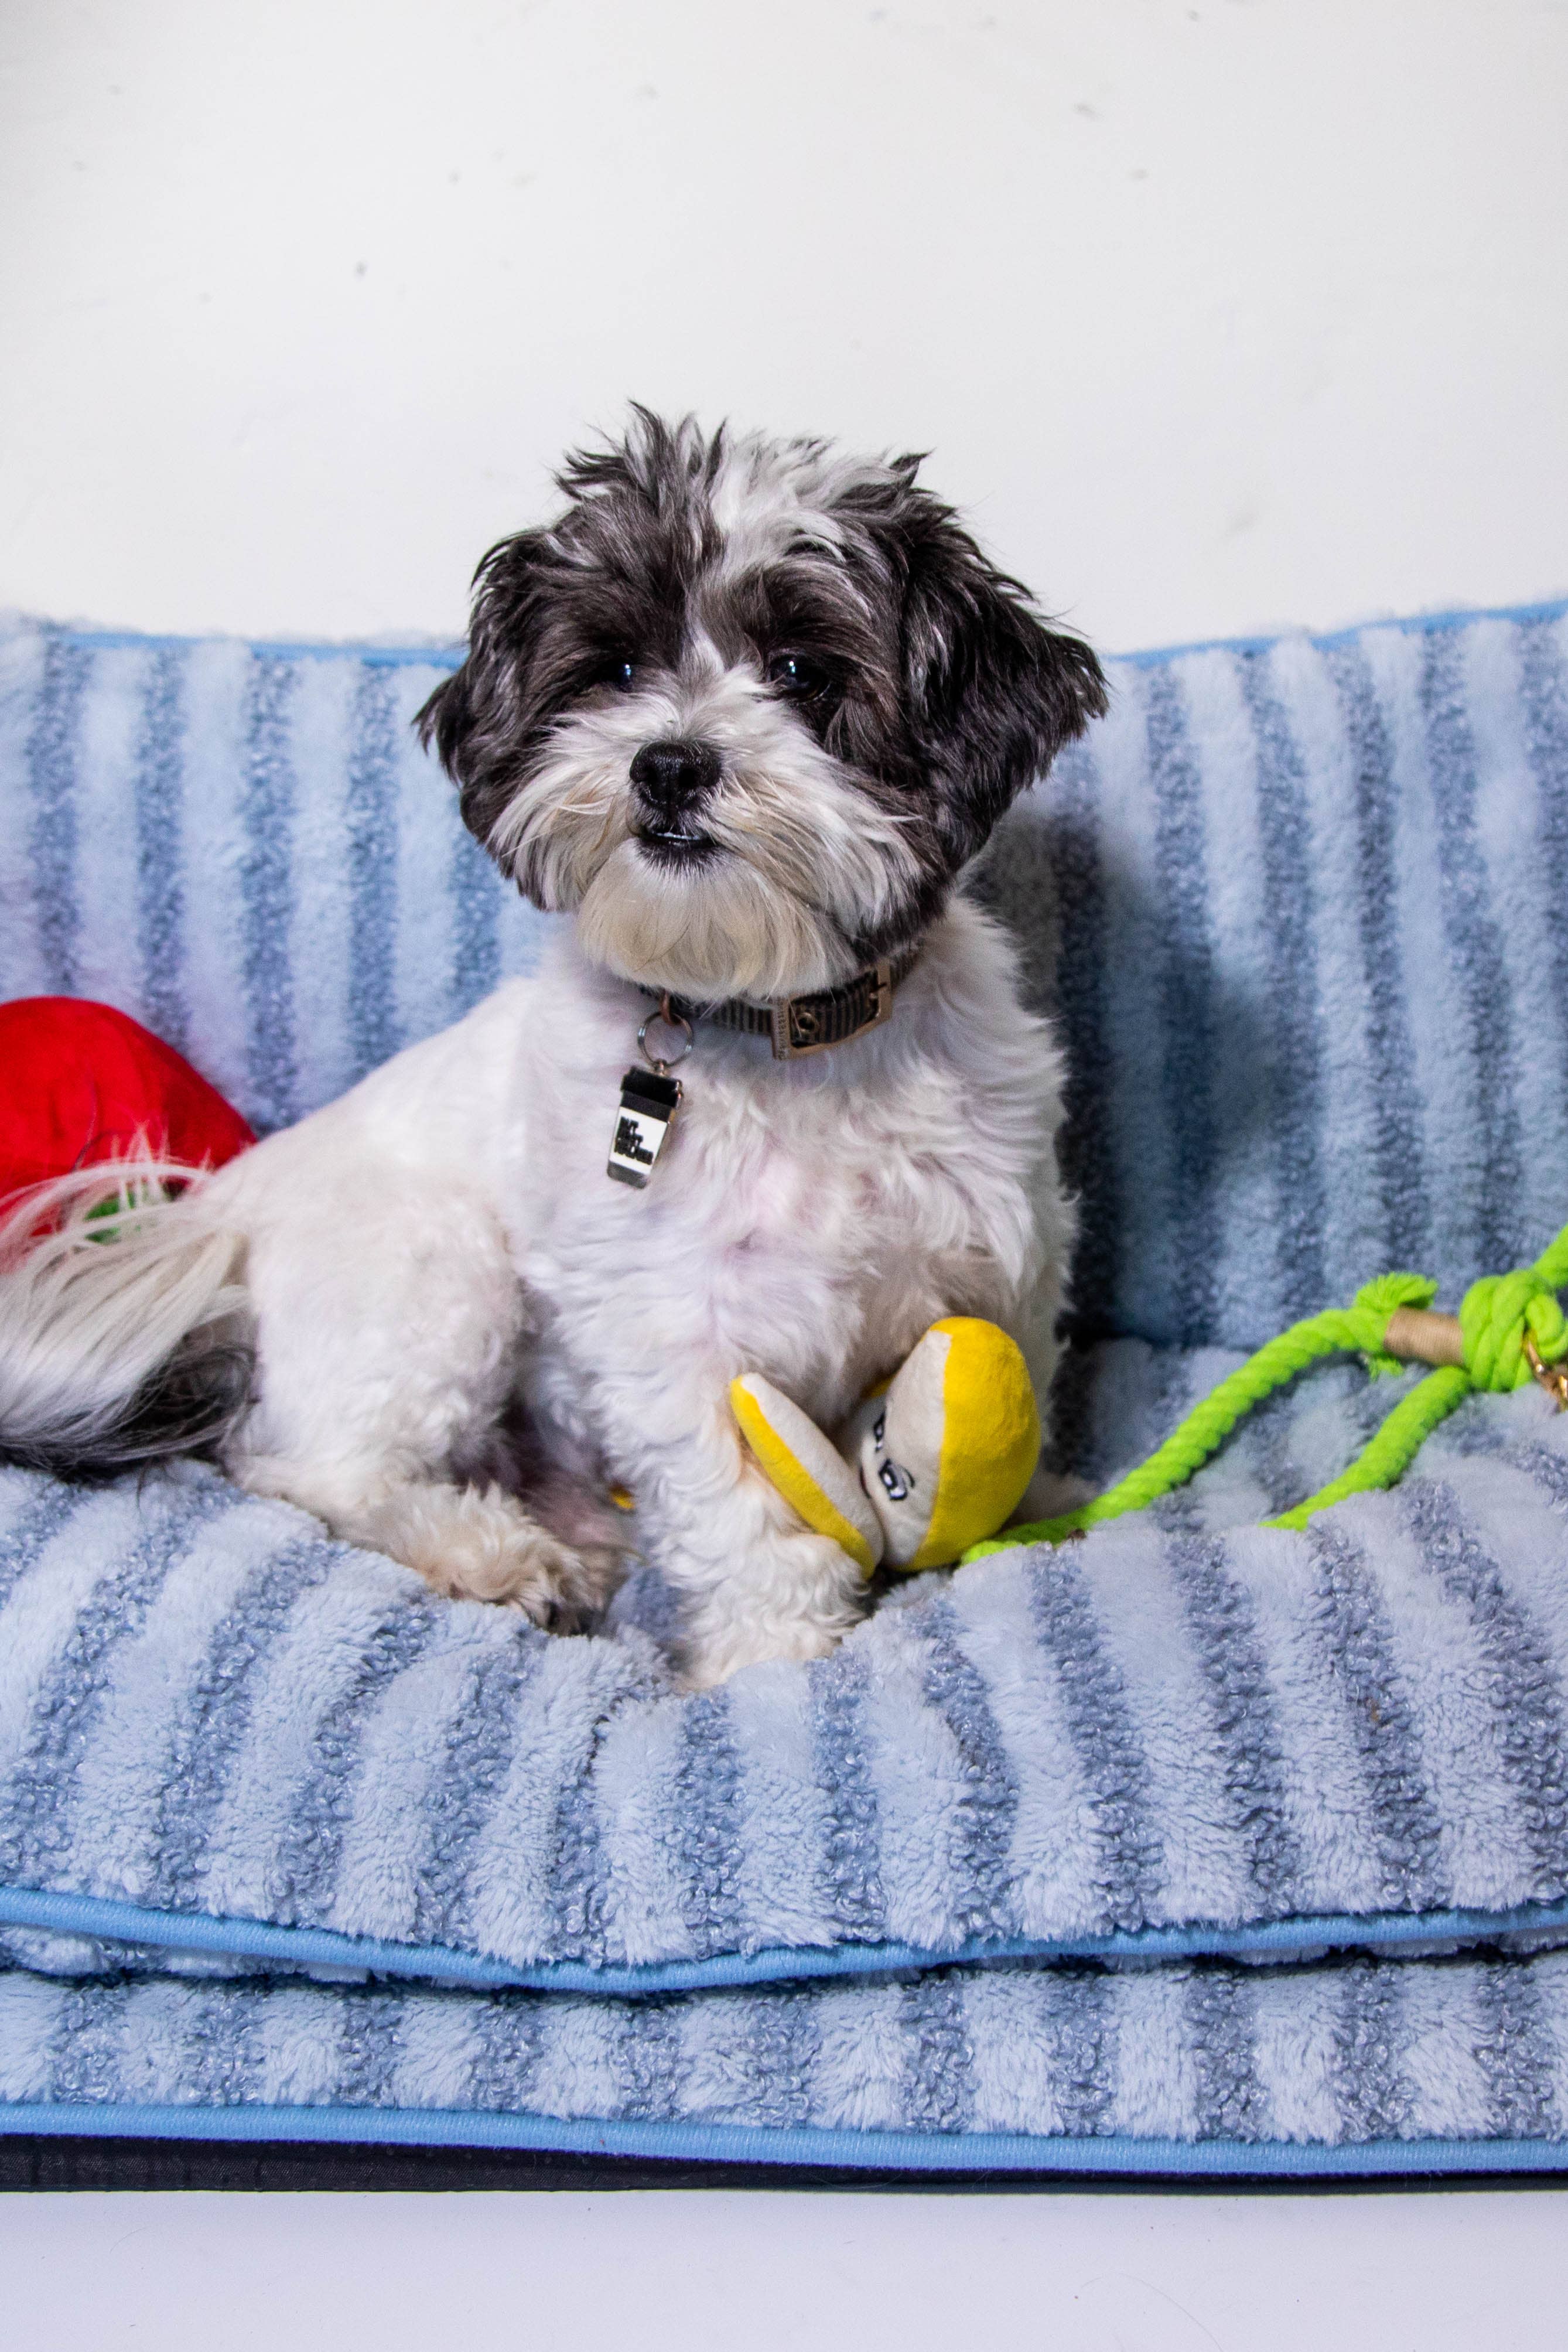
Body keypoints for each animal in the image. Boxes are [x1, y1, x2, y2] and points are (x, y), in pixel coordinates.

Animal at [0, 409, 1105, 1693]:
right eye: (616, 671)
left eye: (800, 670)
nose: (669, 761)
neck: (782, 1032)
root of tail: (213, 1226)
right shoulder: (673, 1333)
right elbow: (741, 1511)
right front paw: (774, 1655)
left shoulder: (1005, 1261)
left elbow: (1016, 1376)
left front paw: (1044, 1501)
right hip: (439, 1267)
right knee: (311, 1470)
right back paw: (497, 1556)